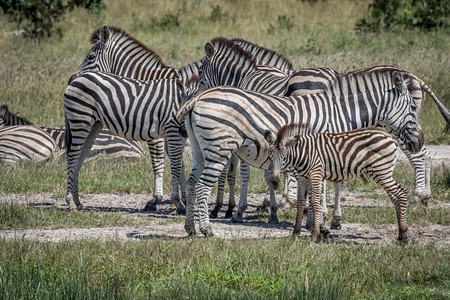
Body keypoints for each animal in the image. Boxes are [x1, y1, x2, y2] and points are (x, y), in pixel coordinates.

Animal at [63, 71, 190, 211]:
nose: (184, 131)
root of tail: (80, 76)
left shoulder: (176, 134)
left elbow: (181, 165)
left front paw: (185, 201)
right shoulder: (172, 131)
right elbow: (174, 166)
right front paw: (177, 202)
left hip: (94, 125)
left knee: (79, 159)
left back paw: (77, 201)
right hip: (80, 120)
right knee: (72, 158)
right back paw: (70, 201)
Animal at [266, 123, 410, 243]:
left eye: (284, 158)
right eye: (270, 157)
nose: (275, 181)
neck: (303, 153)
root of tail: (390, 136)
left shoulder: (316, 174)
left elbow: (315, 202)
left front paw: (316, 234)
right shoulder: (302, 178)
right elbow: (301, 203)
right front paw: (295, 234)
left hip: (381, 170)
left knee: (401, 192)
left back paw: (404, 236)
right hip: (382, 172)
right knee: (395, 198)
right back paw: (401, 234)